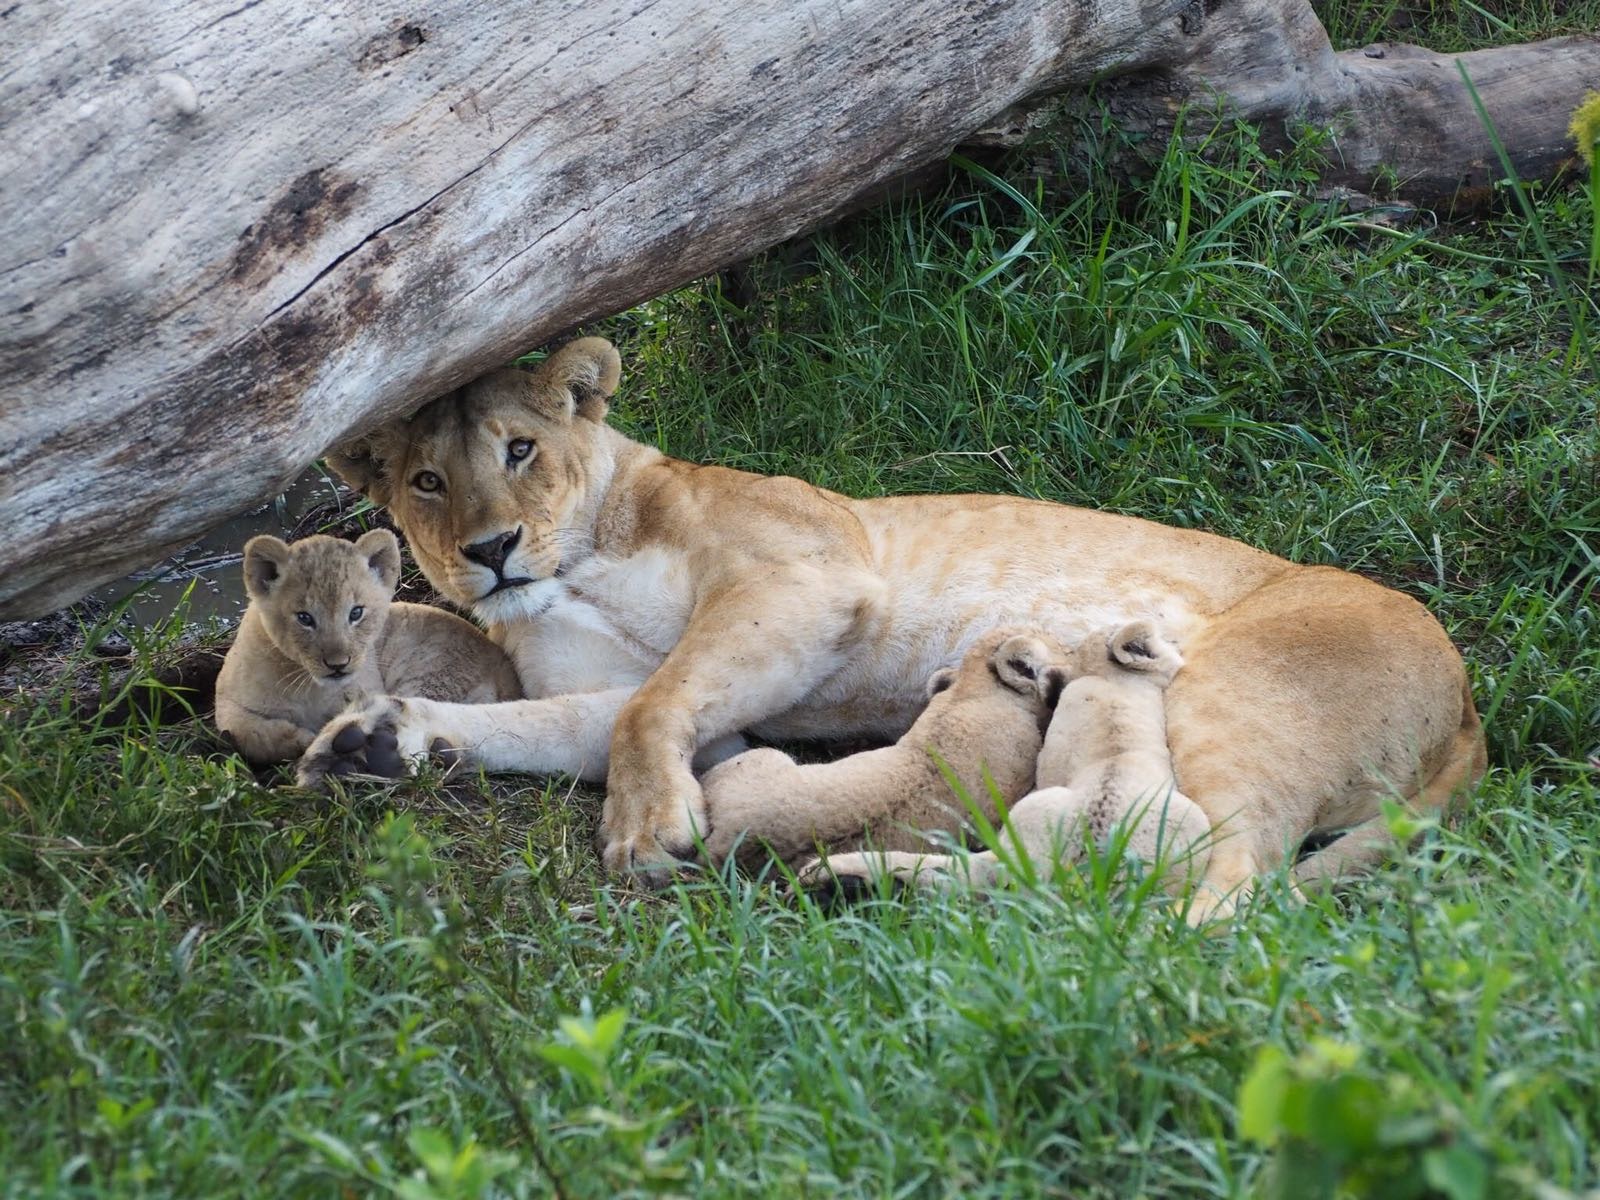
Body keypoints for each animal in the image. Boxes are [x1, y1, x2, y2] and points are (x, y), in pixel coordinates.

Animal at [215, 530, 520, 765]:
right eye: (304, 618)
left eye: (356, 613)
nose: (338, 665)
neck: (307, 685)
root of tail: (508, 675)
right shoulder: (226, 702)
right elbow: (250, 733)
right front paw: (300, 738)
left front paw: (317, 739)